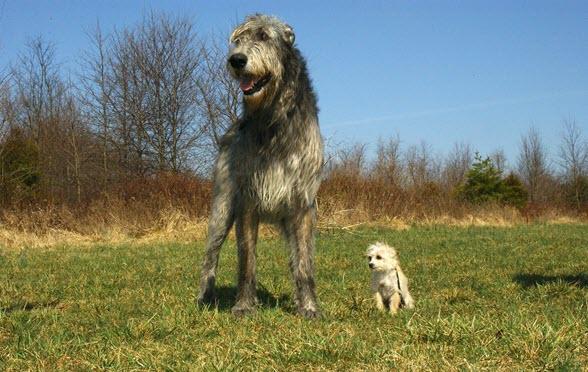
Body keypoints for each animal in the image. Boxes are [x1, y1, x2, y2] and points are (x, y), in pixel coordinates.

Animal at [199, 13, 326, 318]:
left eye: (265, 37)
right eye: (238, 40)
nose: (236, 60)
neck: (273, 118)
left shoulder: (303, 203)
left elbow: (304, 263)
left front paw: (309, 306)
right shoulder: (247, 200)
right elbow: (246, 260)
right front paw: (244, 305)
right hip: (222, 207)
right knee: (210, 255)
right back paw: (205, 296)